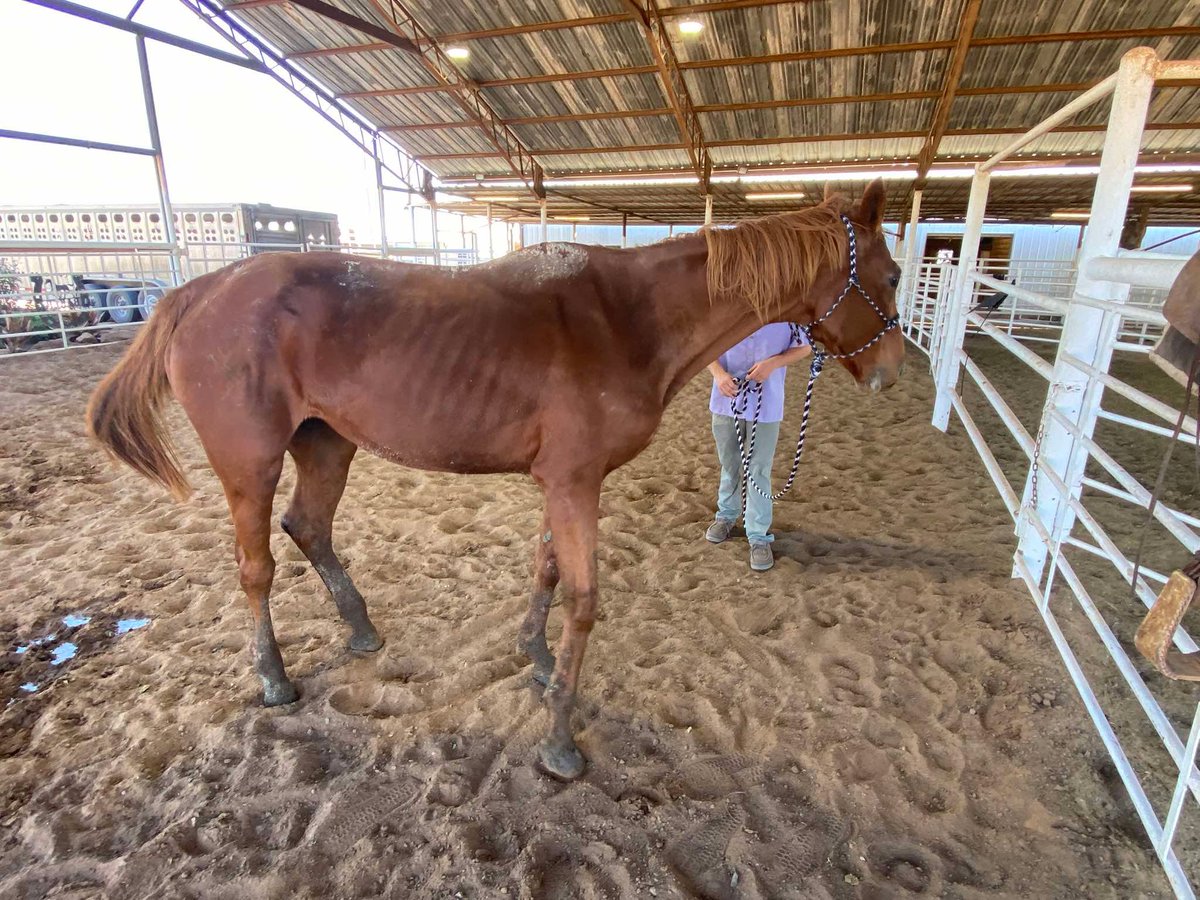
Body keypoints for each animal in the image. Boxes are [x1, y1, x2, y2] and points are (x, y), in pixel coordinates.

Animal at [86, 181, 904, 780]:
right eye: (893, 274)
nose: (893, 372)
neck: (626, 319)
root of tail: (197, 292)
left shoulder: (566, 481)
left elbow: (546, 568)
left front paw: (536, 659)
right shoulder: (574, 483)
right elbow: (583, 600)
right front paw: (561, 740)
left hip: (327, 445)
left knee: (308, 527)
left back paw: (361, 630)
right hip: (248, 465)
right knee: (255, 567)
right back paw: (274, 678)